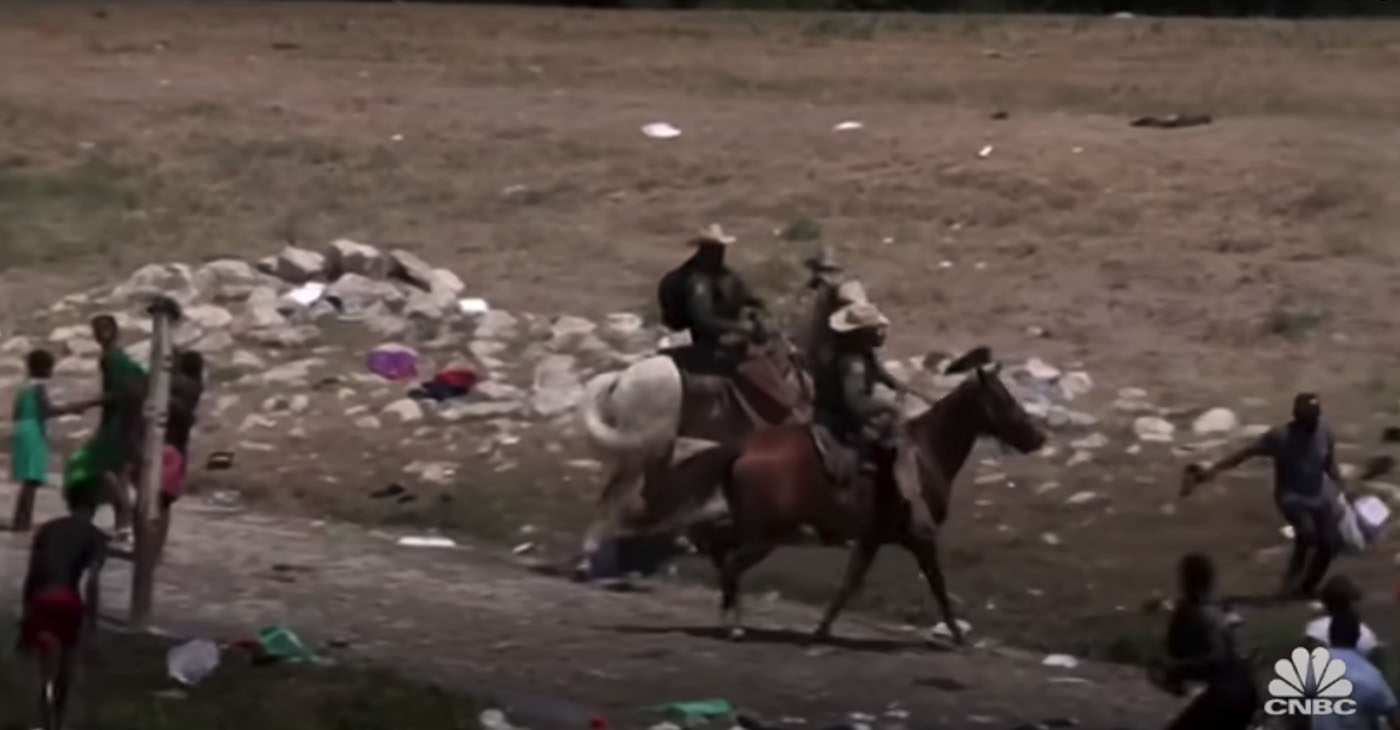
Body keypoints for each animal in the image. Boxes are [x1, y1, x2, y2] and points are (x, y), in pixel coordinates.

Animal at [694, 353, 1047, 644]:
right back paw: (732, 625)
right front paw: (959, 635)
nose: (1038, 437)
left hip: (754, 531)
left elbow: (849, 583)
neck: (927, 452)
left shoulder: (871, 539)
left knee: (719, 552)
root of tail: (743, 449)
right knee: (730, 566)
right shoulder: (921, 539)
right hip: (764, 537)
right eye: (1002, 398)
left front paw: (822, 629)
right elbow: (938, 585)